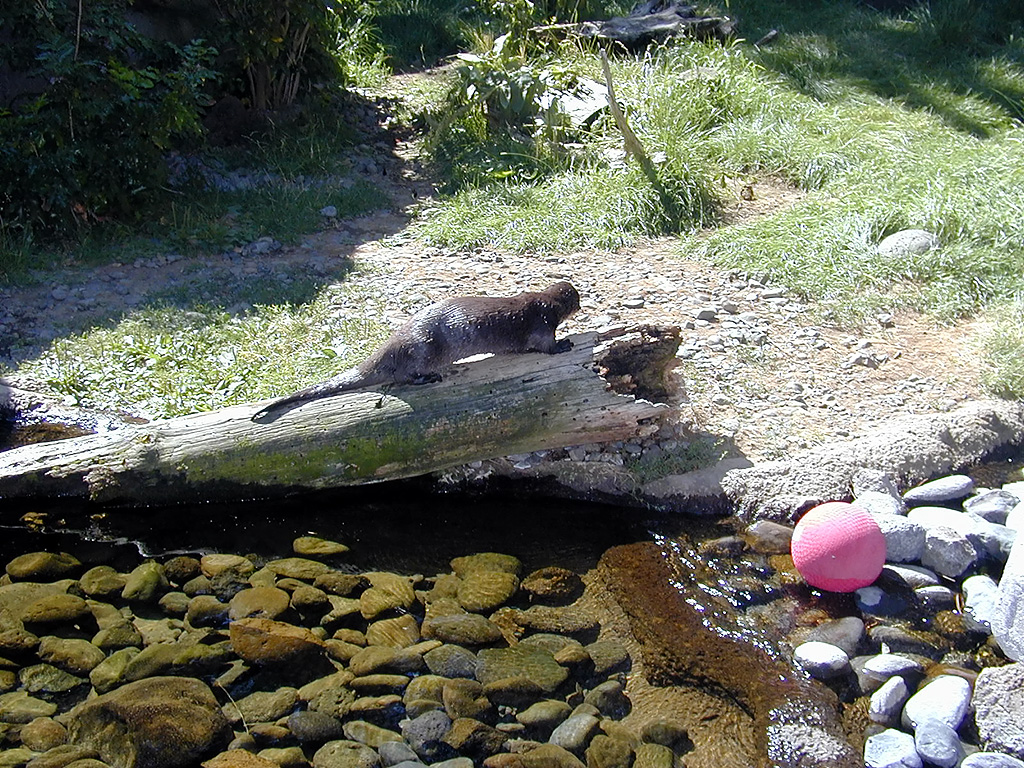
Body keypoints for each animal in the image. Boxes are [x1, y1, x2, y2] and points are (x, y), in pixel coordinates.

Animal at [252, 281, 580, 421]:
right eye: (577, 300)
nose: (581, 304)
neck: (549, 303)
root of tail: (388, 347)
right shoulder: (541, 322)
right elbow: (545, 346)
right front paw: (565, 344)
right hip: (421, 348)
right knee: (404, 377)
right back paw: (429, 378)